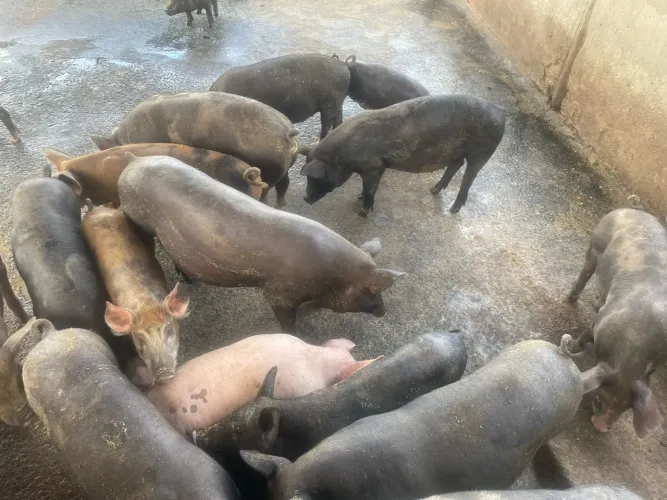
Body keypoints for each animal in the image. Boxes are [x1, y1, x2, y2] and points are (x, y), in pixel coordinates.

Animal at [91, 91, 299, 207]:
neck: (124, 138)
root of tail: (287, 131)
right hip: (283, 166)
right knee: (283, 184)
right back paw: (281, 204)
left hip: (269, 165)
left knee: (267, 192)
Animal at [118, 154, 406, 332]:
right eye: (370, 291)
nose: (384, 311)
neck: (333, 275)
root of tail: (133, 161)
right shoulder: (278, 292)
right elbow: (287, 319)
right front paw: (295, 333)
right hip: (137, 215)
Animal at [300, 94, 506, 216]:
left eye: (317, 177)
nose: (305, 199)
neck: (342, 156)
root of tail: (499, 109)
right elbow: (367, 189)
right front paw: (359, 198)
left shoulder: (375, 167)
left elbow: (369, 189)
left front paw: (363, 212)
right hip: (458, 150)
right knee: (456, 165)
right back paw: (434, 190)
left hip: (482, 151)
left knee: (469, 175)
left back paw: (453, 210)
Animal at [563, 208, 667, 437]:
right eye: (600, 396)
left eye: (627, 408)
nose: (602, 427)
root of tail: (629, 210)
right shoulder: (602, 318)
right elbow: (585, 335)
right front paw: (573, 348)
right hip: (595, 244)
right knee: (586, 272)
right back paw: (569, 300)